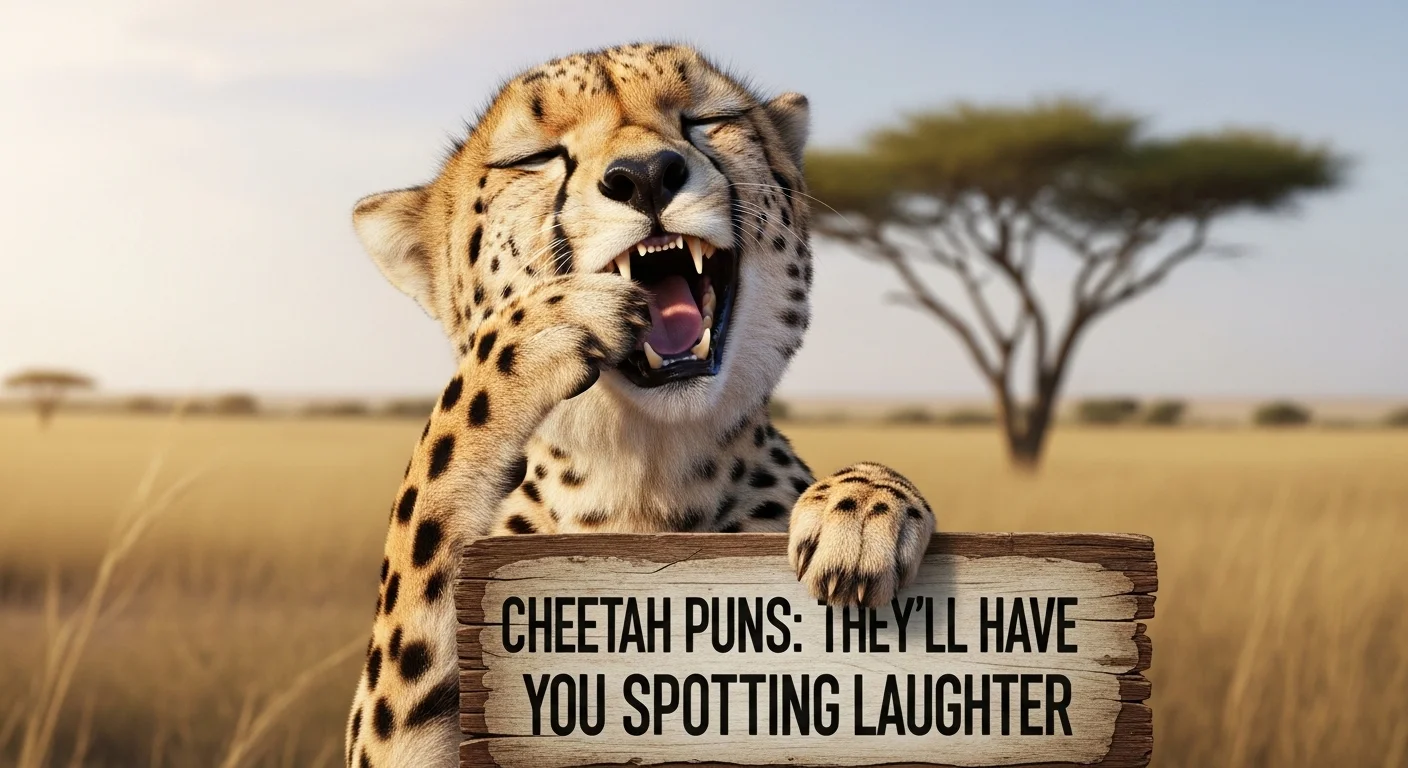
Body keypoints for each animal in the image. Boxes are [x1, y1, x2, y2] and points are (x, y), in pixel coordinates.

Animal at [343, 43, 935, 767]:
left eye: (706, 120)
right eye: (534, 157)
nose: (647, 175)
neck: (643, 475)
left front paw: (865, 506)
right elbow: (434, 481)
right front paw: (538, 325)